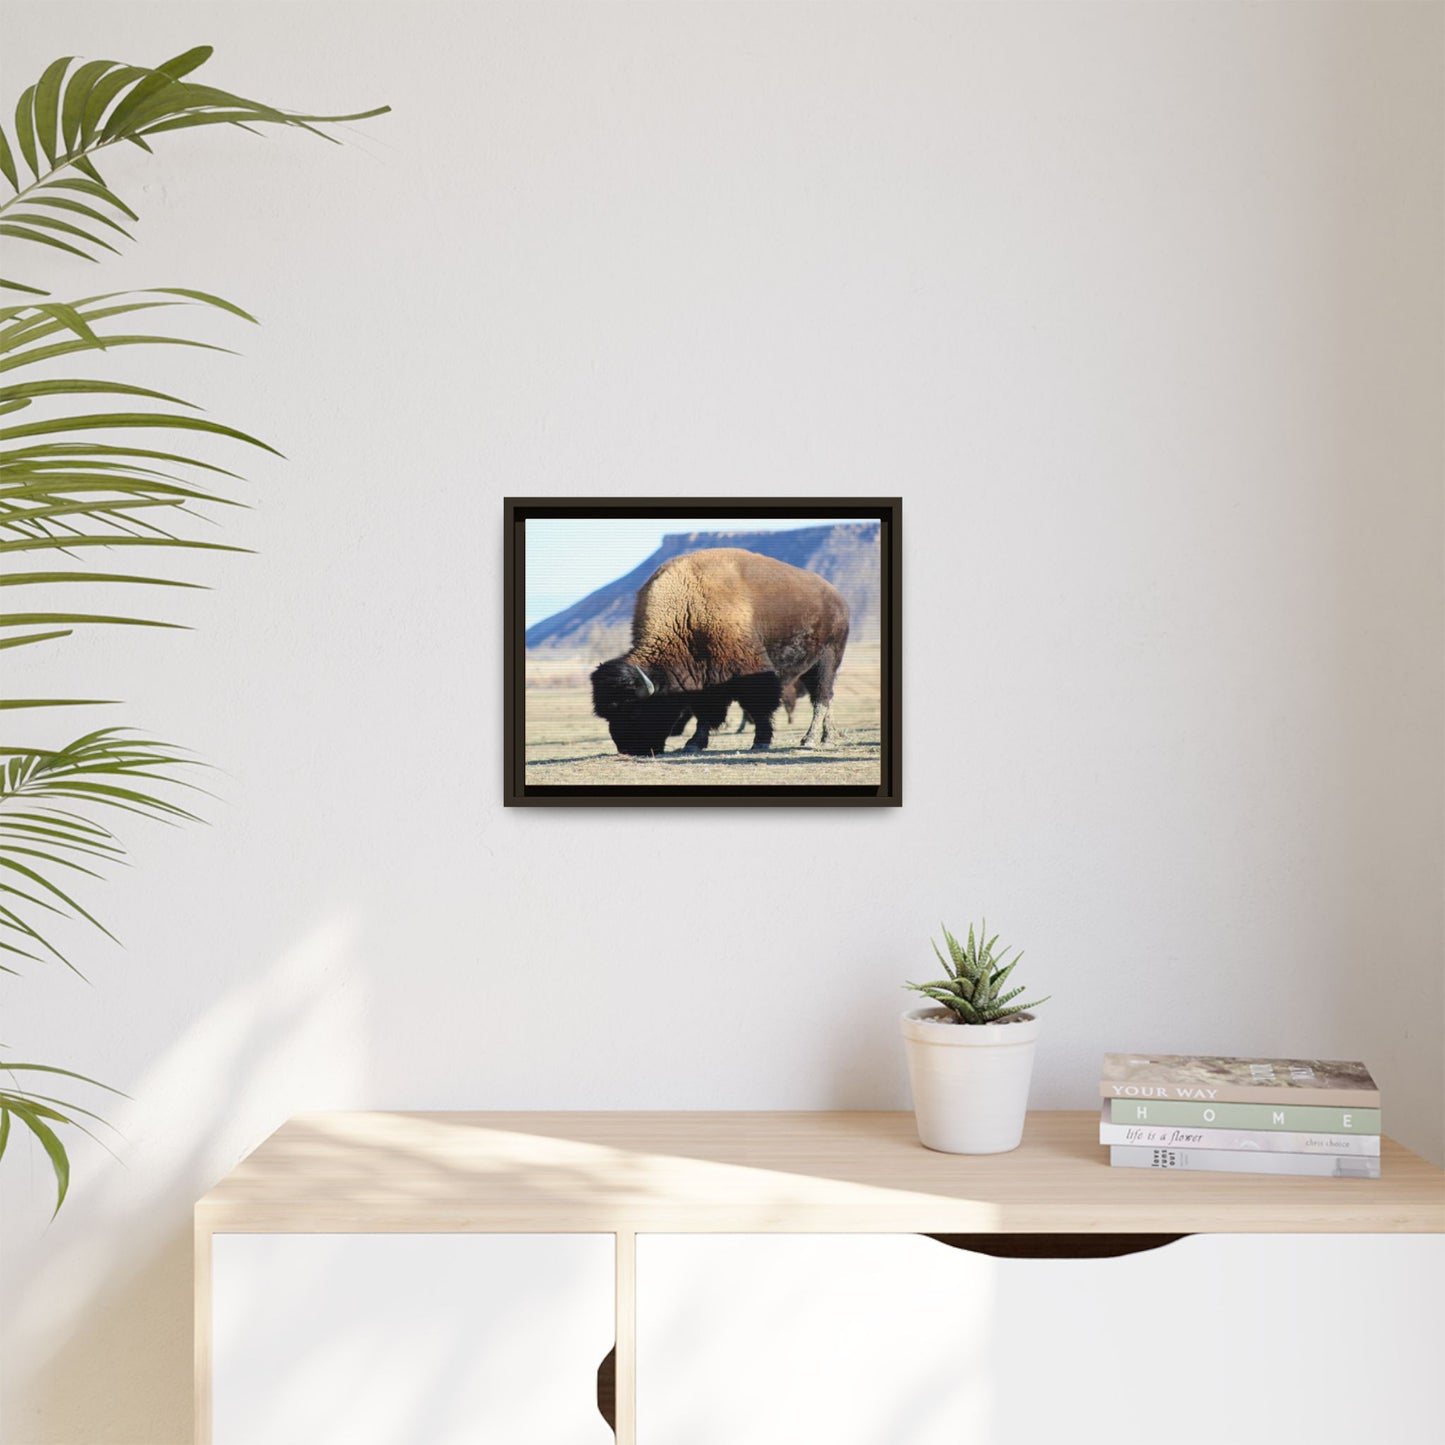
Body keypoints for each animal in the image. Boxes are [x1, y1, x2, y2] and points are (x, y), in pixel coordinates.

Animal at [590, 547, 850, 757]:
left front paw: (761, 742)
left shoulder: (750, 671)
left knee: (821, 698)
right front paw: (693, 744)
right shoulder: (705, 679)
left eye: (634, 710)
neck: (687, 611)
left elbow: (759, 707)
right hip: (810, 666)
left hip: (827, 659)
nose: (628, 749)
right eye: (608, 715)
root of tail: (837, 598)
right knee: (826, 698)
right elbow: (706, 714)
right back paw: (828, 737)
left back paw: (811, 740)